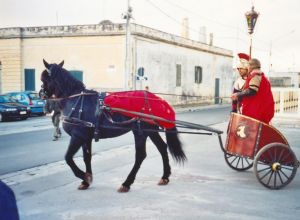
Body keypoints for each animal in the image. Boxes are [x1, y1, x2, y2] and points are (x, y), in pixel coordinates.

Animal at [39, 59, 185, 192]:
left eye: (44, 79)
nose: (41, 95)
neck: (76, 99)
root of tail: (156, 99)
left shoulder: (78, 136)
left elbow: (68, 158)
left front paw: (84, 177)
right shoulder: (86, 137)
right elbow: (87, 157)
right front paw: (86, 181)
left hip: (140, 131)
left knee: (140, 155)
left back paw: (127, 183)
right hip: (150, 130)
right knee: (162, 148)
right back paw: (165, 176)